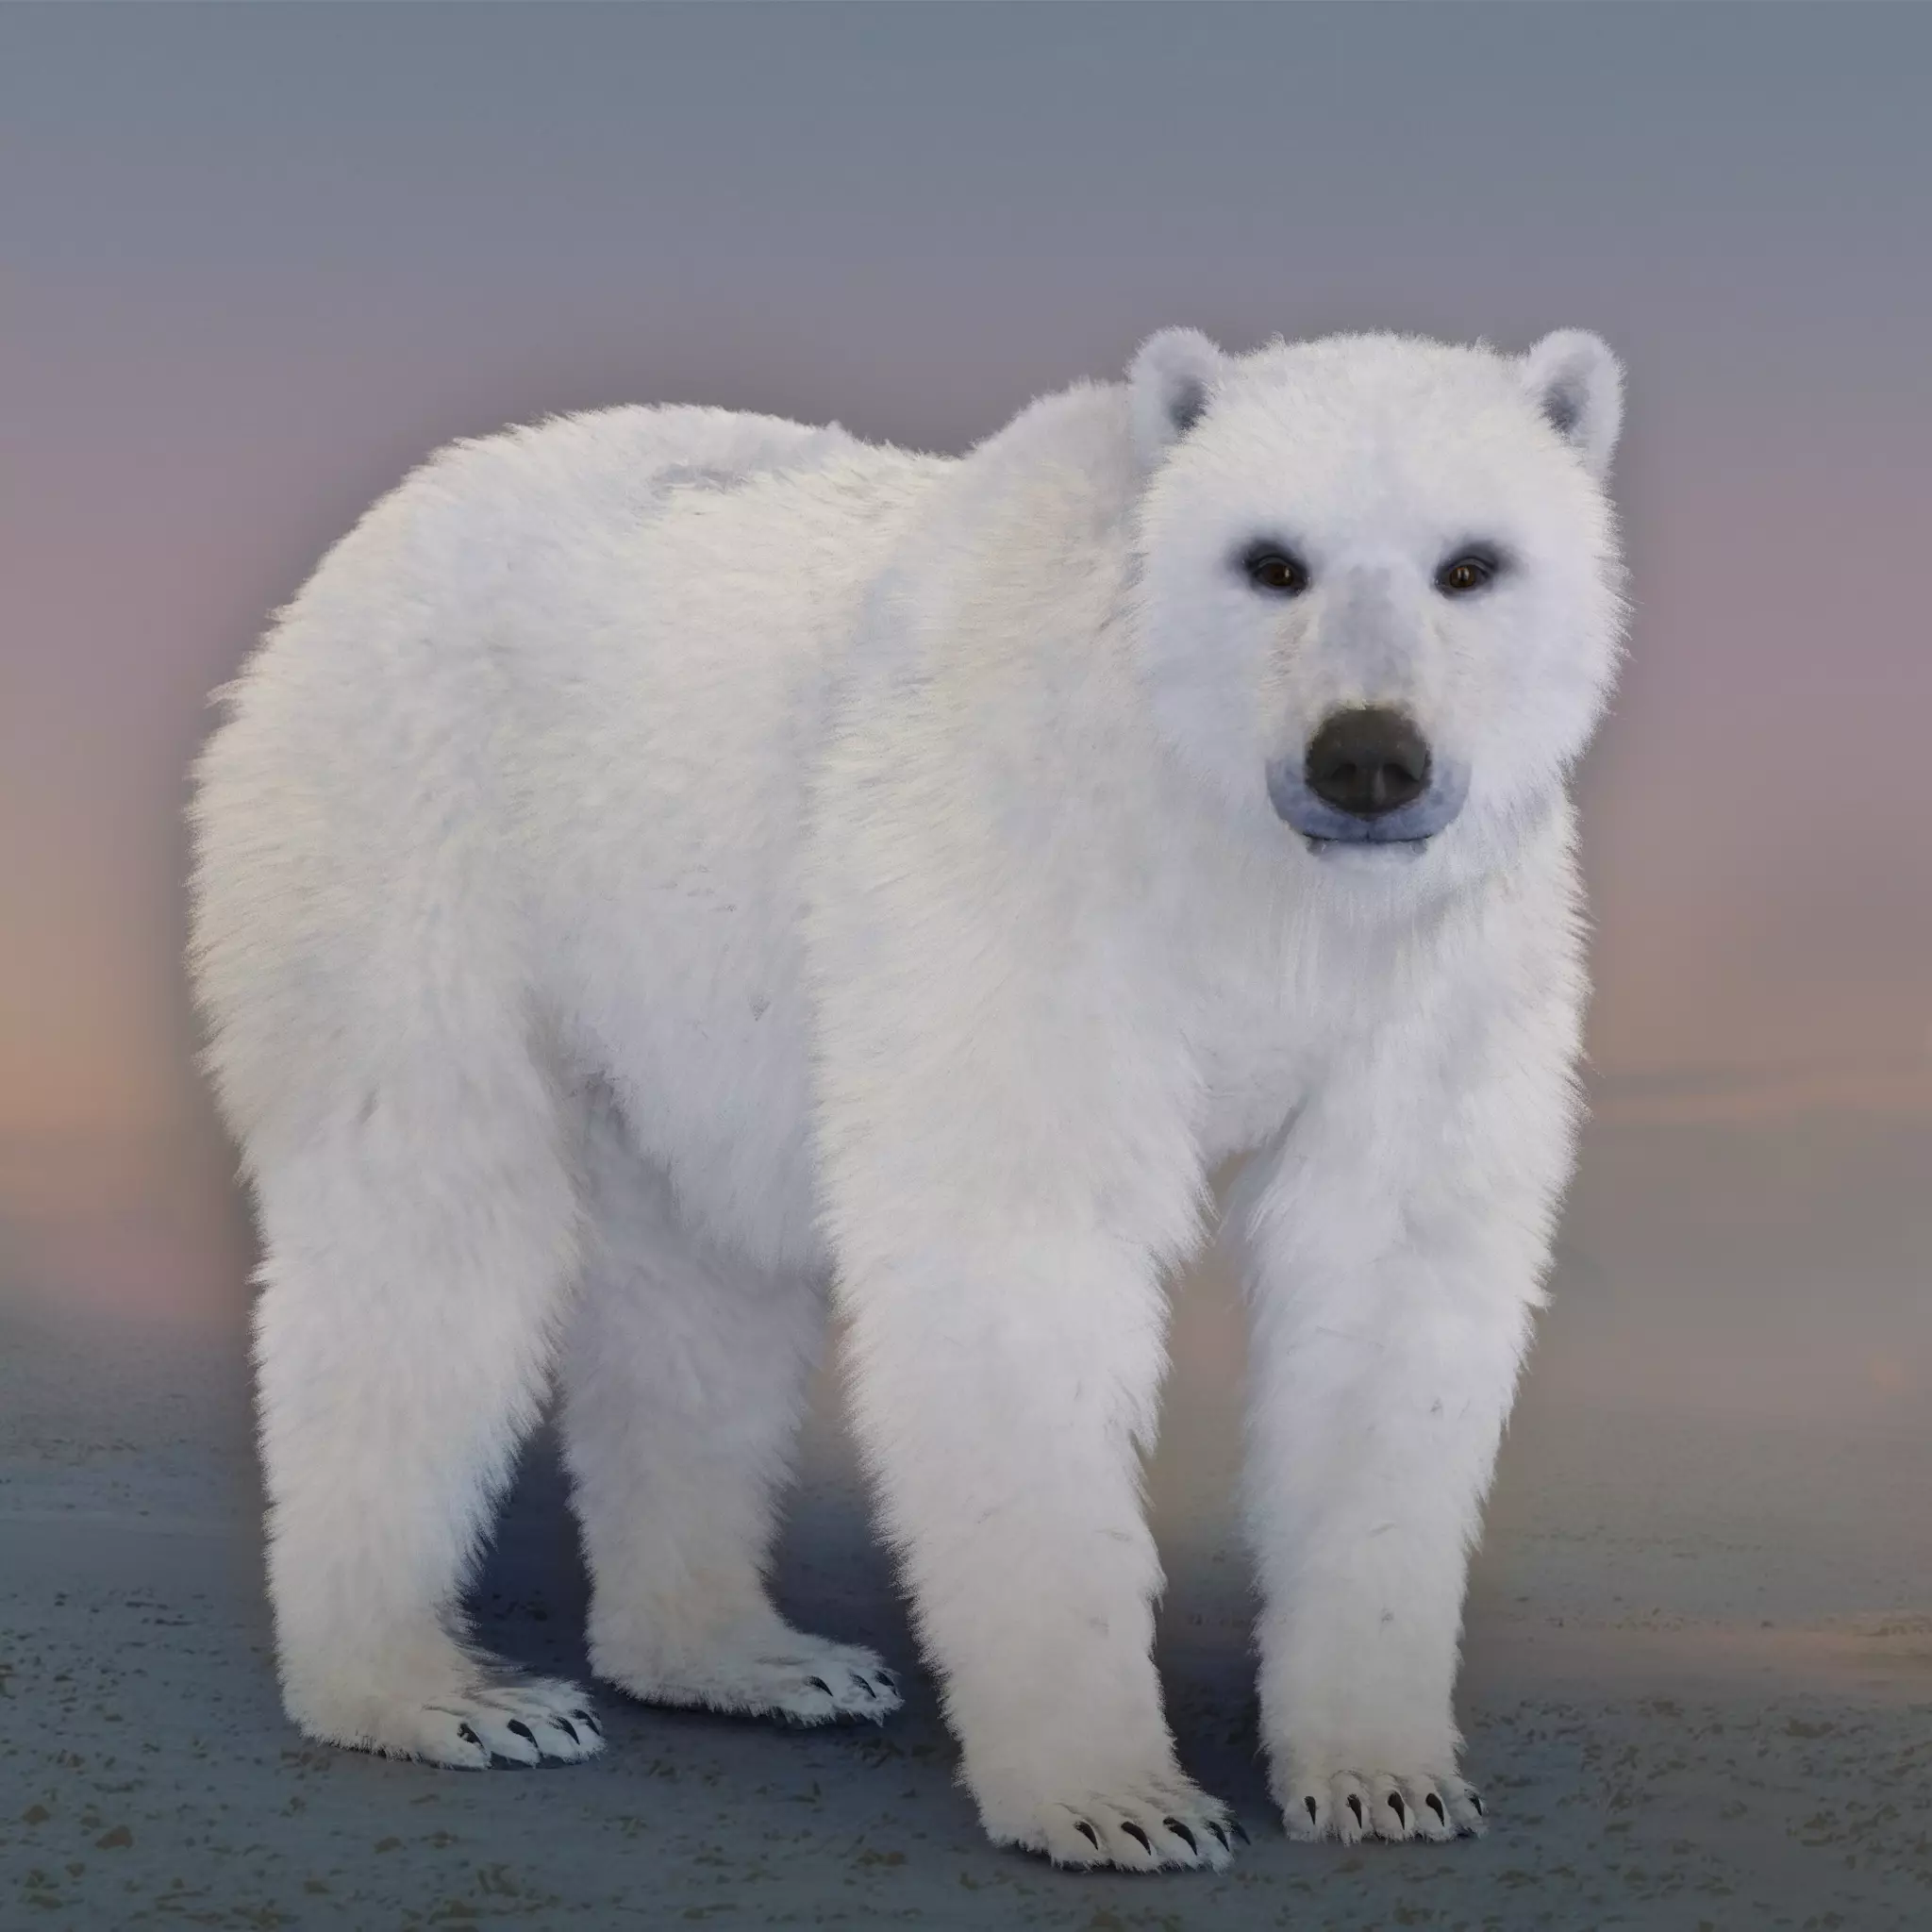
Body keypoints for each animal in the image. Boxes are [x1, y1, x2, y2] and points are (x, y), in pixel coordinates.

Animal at [187, 323, 1626, 1872]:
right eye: (1270, 561)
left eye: (1471, 564)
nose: (1366, 756)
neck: (1242, 853)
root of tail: (388, 522)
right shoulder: (1031, 875)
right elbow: (1019, 1256)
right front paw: (1116, 1799)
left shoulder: (1433, 961)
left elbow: (1389, 1278)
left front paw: (1381, 1778)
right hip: (411, 841)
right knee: (429, 1229)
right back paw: (436, 1690)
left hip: (688, 998)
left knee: (702, 1293)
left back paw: (747, 1654)